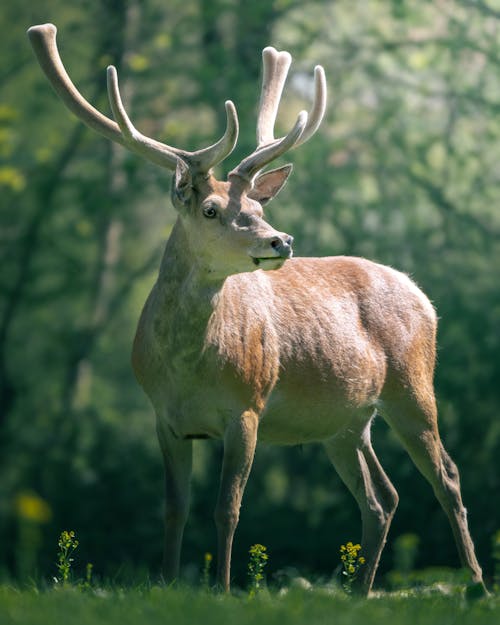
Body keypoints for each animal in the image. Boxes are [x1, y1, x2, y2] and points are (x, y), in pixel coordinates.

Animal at [28, 22, 488, 592]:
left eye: (255, 206)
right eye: (210, 209)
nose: (280, 240)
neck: (186, 369)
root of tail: (422, 295)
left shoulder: (247, 406)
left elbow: (228, 508)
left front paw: (223, 589)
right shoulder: (164, 417)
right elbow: (173, 509)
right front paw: (167, 582)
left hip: (413, 386)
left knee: (447, 475)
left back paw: (475, 584)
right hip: (345, 421)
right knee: (383, 497)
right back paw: (360, 593)